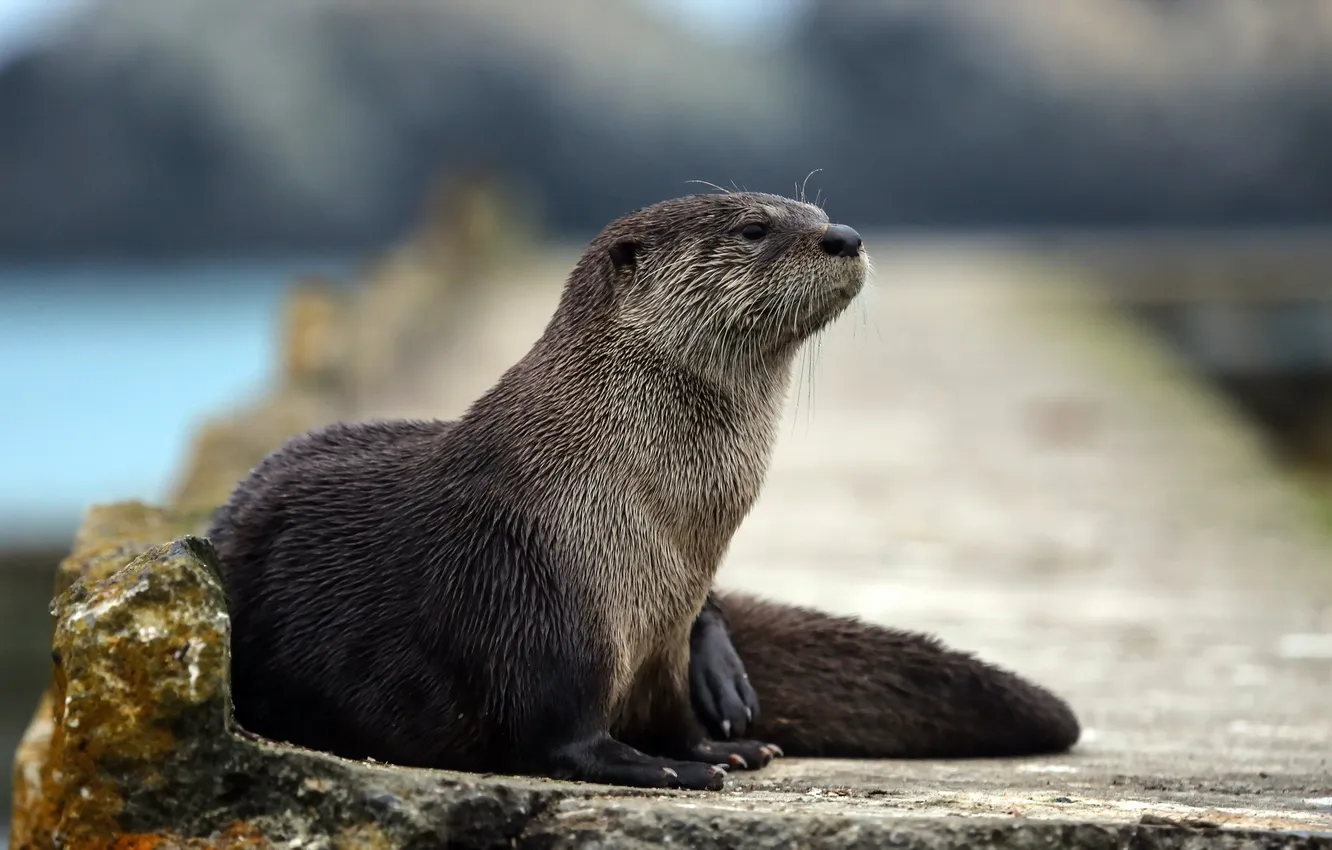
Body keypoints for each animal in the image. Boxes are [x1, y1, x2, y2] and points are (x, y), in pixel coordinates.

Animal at [209, 191, 1079, 792]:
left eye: (816, 211)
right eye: (754, 228)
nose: (846, 235)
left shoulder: (662, 630)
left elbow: (673, 711)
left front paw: (718, 744)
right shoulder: (534, 592)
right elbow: (557, 737)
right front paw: (661, 768)